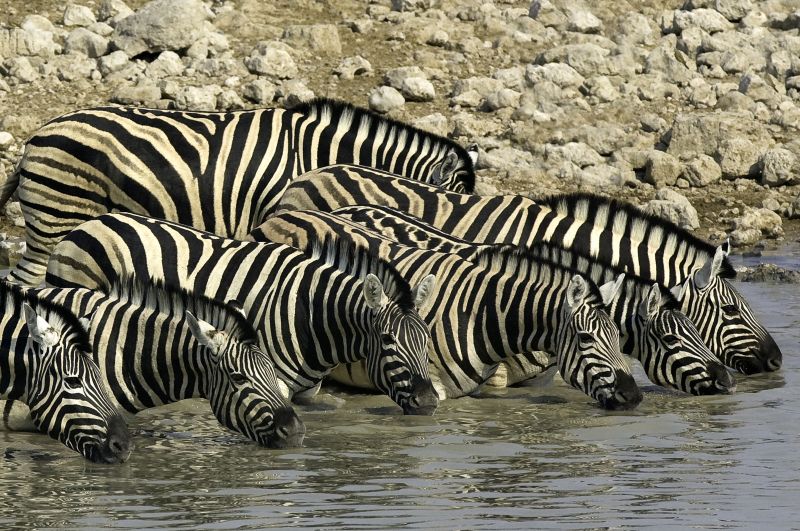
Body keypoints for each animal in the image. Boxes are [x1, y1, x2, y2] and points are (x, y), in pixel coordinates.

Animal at [45, 214, 438, 418]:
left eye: (426, 340)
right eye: (388, 340)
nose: (430, 403)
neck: (309, 312)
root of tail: (88, 224)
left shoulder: (307, 391)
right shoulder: (269, 377)